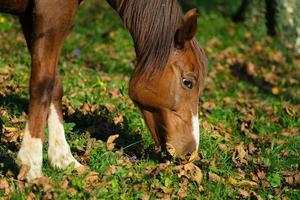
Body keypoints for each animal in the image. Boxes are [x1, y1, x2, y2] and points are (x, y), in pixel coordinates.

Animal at [0, 0, 207, 180]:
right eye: (187, 82)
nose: (190, 153)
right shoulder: (52, 13)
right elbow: (42, 84)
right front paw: (31, 165)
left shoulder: (31, 17)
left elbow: (54, 85)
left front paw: (63, 158)